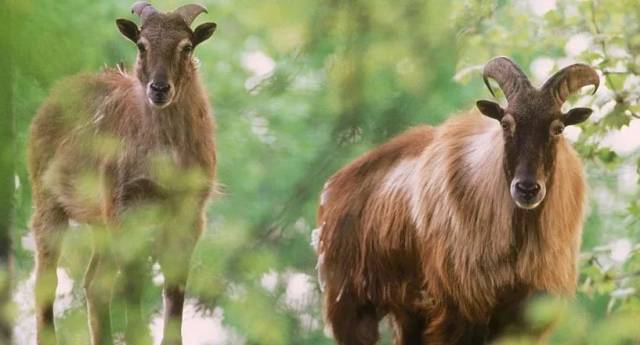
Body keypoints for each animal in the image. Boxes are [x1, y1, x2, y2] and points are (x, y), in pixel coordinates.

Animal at [28, 2, 218, 344]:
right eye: (141, 45)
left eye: (186, 46)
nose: (159, 88)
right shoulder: (124, 204)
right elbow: (133, 279)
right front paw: (137, 336)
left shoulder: (188, 211)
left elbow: (174, 287)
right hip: (48, 200)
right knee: (47, 280)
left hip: (98, 221)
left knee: (94, 282)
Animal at [316, 57, 600, 344]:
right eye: (505, 123)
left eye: (558, 127)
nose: (527, 189)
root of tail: (334, 187)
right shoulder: (459, 313)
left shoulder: (523, 316)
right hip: (351, 306)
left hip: (407, 313)